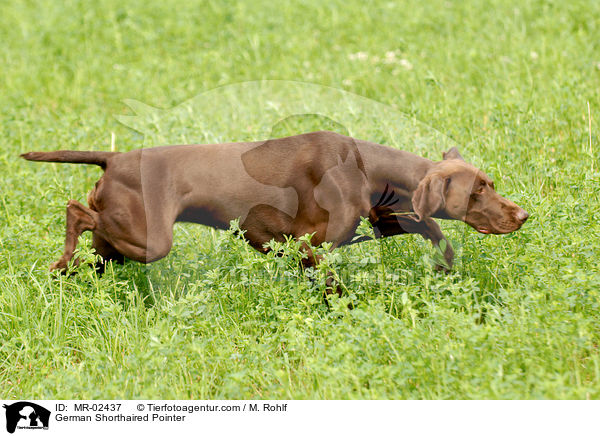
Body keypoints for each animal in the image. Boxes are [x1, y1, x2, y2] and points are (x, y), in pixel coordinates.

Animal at [21, 130, 528, 280]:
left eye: (490, 184)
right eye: (478, 190)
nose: (523, 215)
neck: (367, 166)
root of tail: (115, 158)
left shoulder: (386, 216)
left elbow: (435, 234)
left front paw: (444, 269)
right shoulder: (311, 245)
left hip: (120, 243)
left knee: (92, 249)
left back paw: (65, 270)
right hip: (148, 239)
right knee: (76, 210)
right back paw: (60, 257)